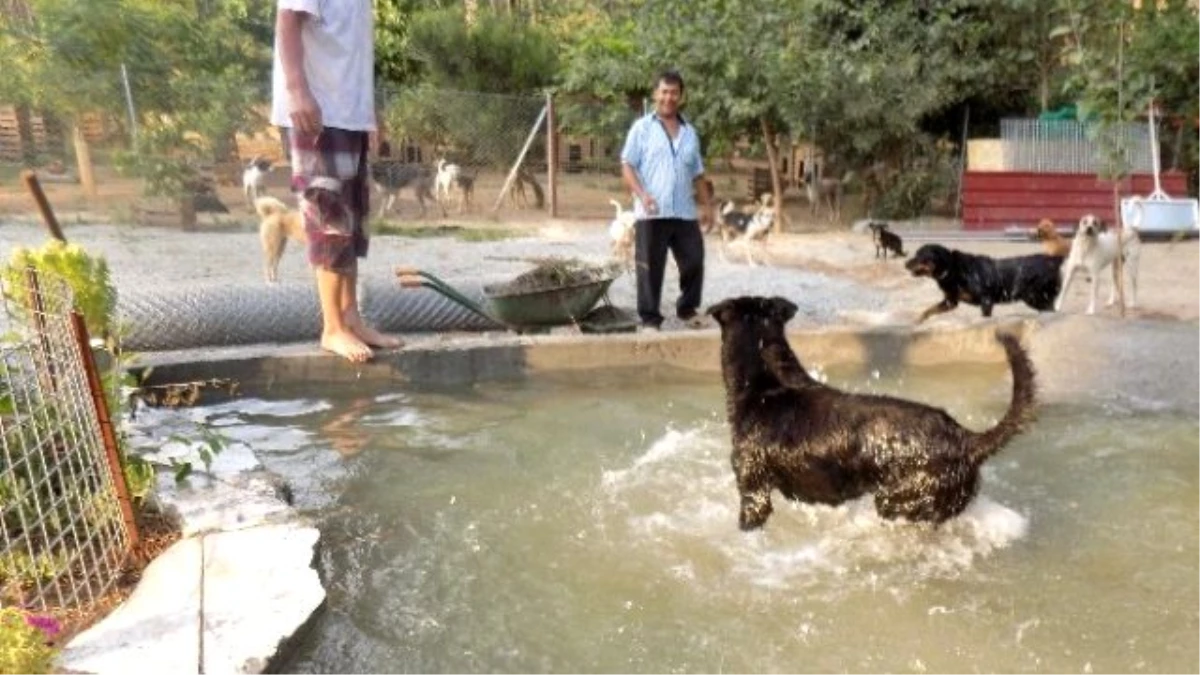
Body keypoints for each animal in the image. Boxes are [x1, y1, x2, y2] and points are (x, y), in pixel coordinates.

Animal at [902, 242, 1065, 321]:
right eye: (916, 254)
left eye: (921, 256)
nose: (905, 263)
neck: (952, 269)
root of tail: (1053, 260)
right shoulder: (950, 302)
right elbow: (929, 309)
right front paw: (919, 320)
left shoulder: (986, 301)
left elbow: (985, 317)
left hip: (1034, 297)